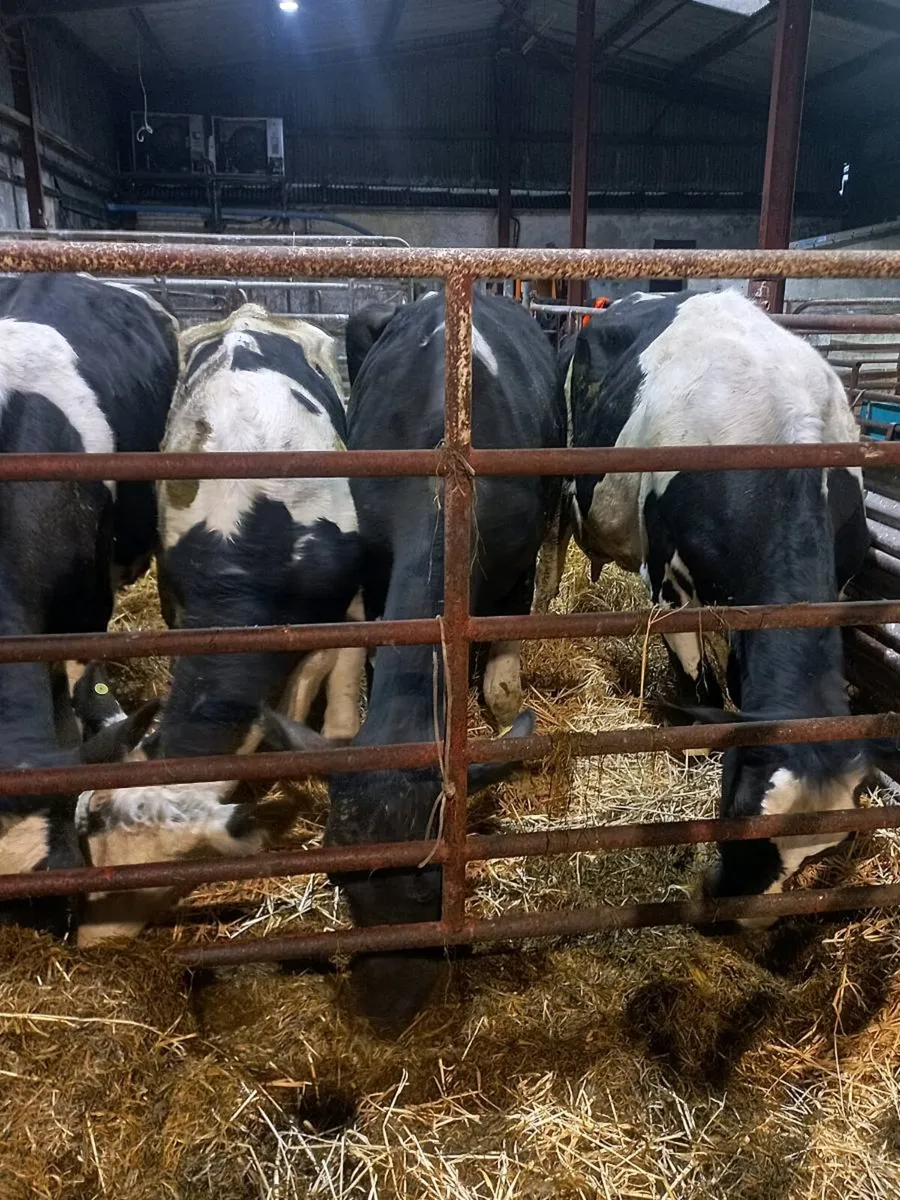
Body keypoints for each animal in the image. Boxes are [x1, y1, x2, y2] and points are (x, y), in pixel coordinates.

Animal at [75, 305, 366, 945]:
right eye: (93, 836)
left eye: (172, 876)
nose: (91, 947)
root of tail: (250, 312)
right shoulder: (178, 596)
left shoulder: (347, 600)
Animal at [263, 290, 566, 1030]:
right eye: (341, 879)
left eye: (436, 886)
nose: (387, 1012)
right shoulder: (376, 559)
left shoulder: (516, 561)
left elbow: (504, 685)